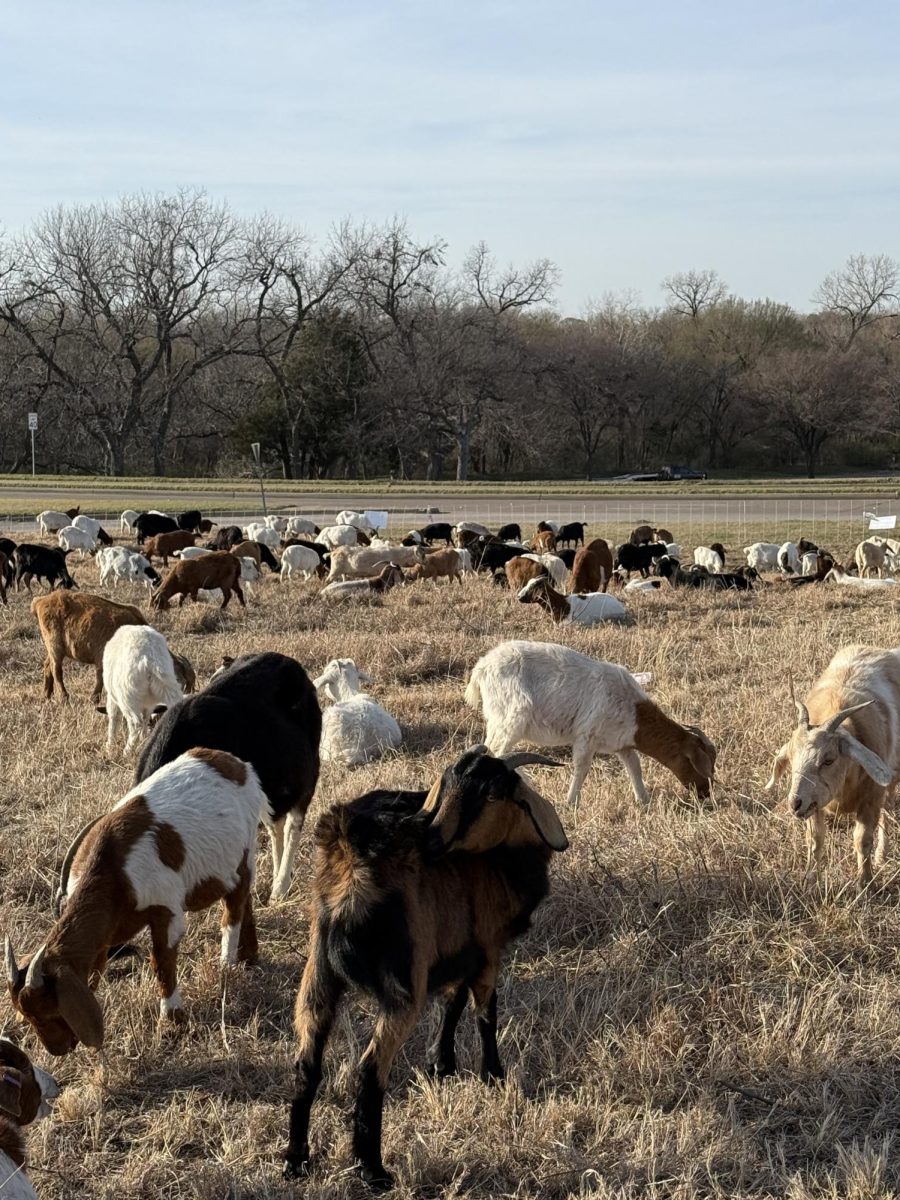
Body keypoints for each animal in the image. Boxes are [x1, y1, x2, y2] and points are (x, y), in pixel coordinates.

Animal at [5, 749, 265, 1052]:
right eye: (27, 1016)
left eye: (49, 1010)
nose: (58, 1050)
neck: (113, 871)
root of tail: (235, 764)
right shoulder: (104, 937)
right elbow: (95, 969)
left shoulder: (166, 909)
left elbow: (162, 960)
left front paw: (173, 1019)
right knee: (245, 901)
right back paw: (249, 956)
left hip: (244, 853)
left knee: (234, 908)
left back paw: (227, 964)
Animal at [283, 747, 567, 1188]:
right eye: (447, 786)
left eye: (491, 794)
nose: (429, 838)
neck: (501, 858)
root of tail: (351, 861)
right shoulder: (488, 947)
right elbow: (485, 1010)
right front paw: (493, 1075)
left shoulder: (456, 947)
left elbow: (452, 1000)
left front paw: (441, 1064)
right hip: (403, 982)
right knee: (370, 1070)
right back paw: (373, 1170)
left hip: (318, 973)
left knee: (306, 1063)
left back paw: (296, 1160)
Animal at [466, 640, 716, 807]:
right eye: (698, 764)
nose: (705, 793)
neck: (634, 710)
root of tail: (481, 669)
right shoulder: (587, 735)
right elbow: (582, 768)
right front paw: (571, 802)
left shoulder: (622, 744)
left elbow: (634, 766)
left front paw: (643, 800)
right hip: (511, 716)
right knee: (497, 751)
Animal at [766, 646, 900, 887]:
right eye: (791, 759)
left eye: (828, 760)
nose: (795, 803)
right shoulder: (815, 804)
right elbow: (815, 841)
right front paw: (810, 880)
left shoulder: (871, 797)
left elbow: (862, 840)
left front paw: (865, 883)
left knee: (887, 811)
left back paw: (881, 855)